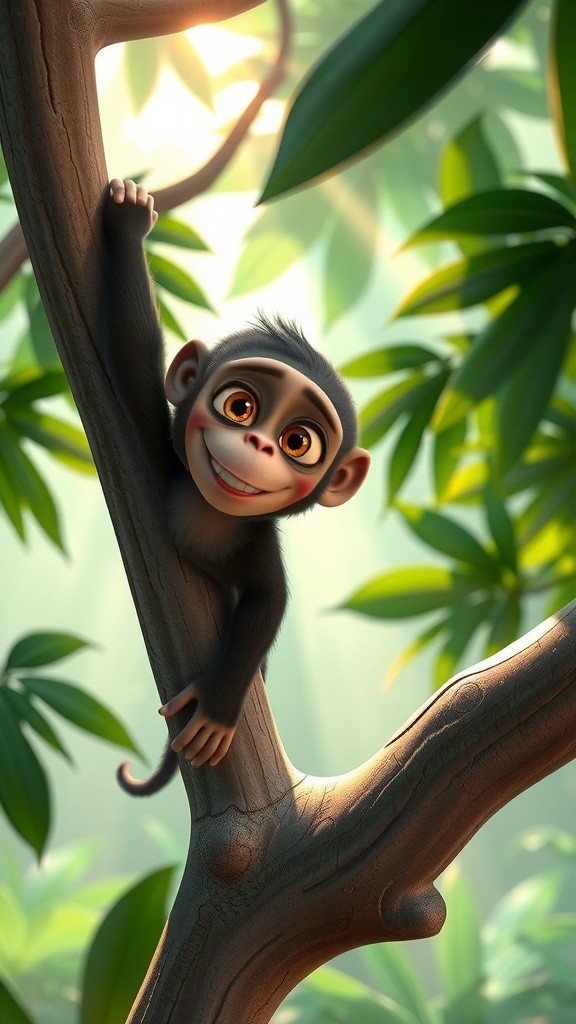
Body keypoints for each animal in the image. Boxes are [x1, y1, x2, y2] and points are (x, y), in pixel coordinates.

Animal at [102, 178, 370, 794]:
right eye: (239, 406)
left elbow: (269, 603)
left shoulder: (257, 542)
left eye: (299, 441)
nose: (259, 445)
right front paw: (130, 221)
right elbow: (131, 357)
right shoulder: (158, 452)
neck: (212, 512)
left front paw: (217, 711)